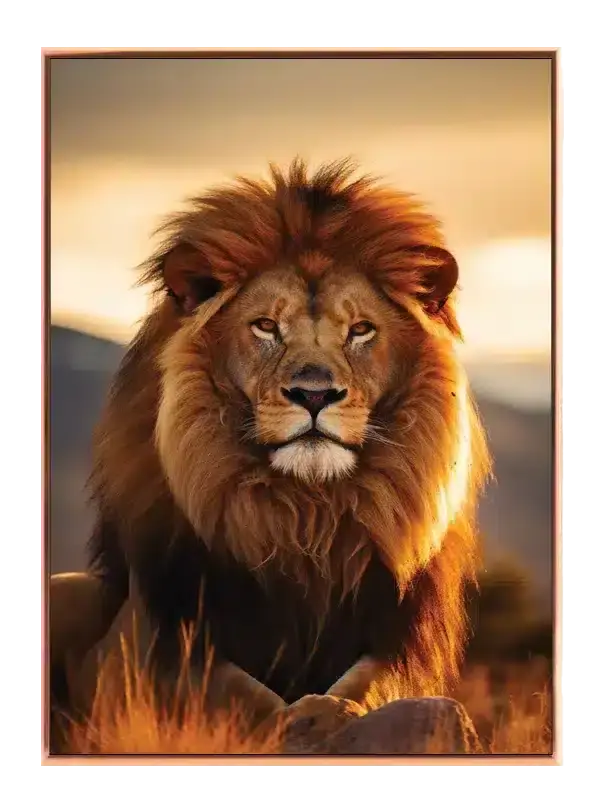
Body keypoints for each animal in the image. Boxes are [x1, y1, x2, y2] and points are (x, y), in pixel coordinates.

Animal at [49, 158, 491, 753]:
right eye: (265, 326)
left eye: (360, 330)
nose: (314, 394)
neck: (305, 516)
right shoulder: (170, 641)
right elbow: (245, 697)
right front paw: (296, 723)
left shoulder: (394, 640)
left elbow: (361, 687)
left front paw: (328, 713)